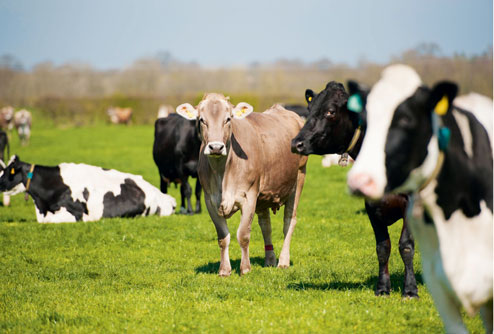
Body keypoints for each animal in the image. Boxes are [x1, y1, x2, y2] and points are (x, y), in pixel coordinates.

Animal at [176, 92, 306, 276]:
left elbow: (243, 235)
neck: (222, 174)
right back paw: (270, 259)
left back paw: (283, 261)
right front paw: (224, 270)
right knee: (265, 224)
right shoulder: (210, 200)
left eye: (228, 119)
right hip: (263, 196)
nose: (216, 147)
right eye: (201, 120)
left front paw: (245, 268)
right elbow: (223, 237)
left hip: (299, 178)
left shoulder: (249, 196)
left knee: (289, 221)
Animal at [290, 80, 416, 298]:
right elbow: (383, 248)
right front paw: (383, 288)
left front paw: (410, 290)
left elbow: (406, 246)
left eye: (330, 111)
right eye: (309, 109)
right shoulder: (371, 206)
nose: (296, 143)